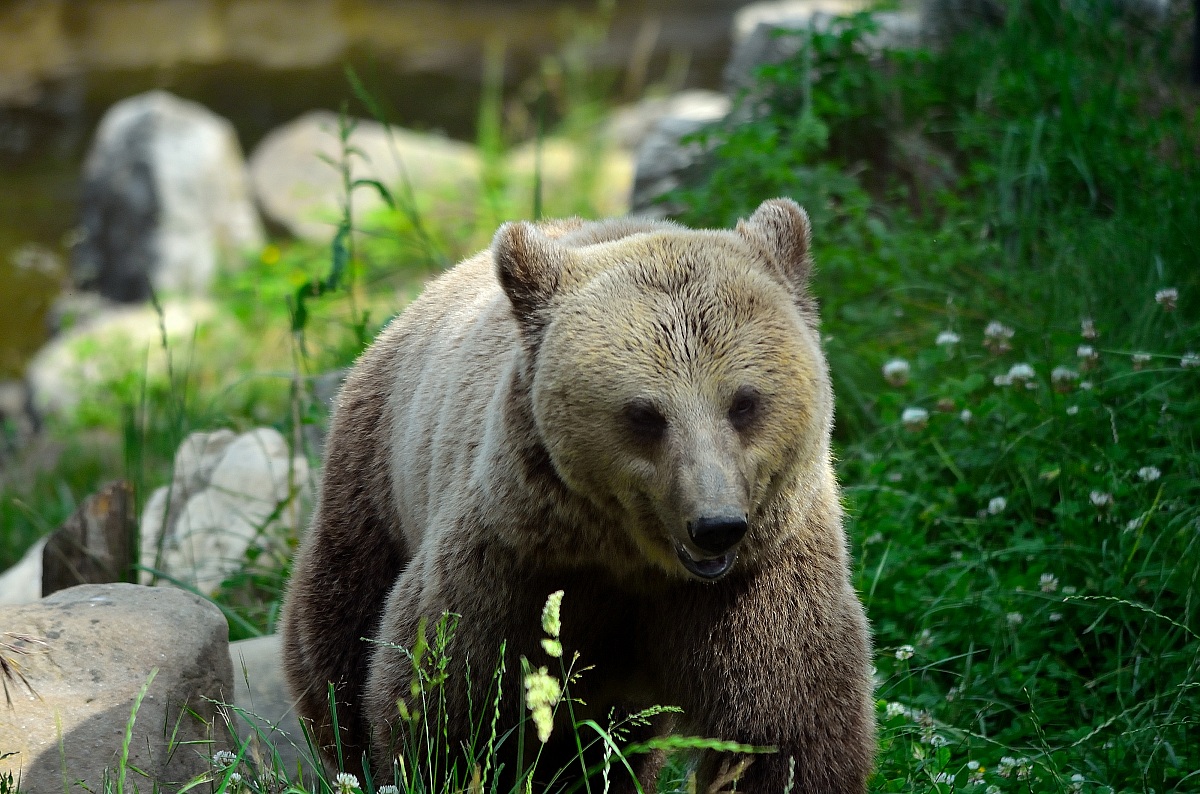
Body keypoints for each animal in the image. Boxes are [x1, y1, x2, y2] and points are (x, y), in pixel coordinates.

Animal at [280, 198, 875, 793]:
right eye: (645, 414)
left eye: (743, 402)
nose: (714, 526)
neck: (631, 559)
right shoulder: (516, 561)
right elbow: (444, 695)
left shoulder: (756, 578)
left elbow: (784, 725)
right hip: (376, 471)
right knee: (338, 625)